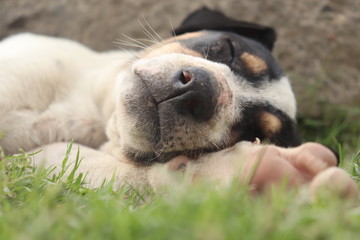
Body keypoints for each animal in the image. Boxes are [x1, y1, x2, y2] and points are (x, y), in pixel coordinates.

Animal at [0, 8, 358, 198]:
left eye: (252, 133)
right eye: (229, 49)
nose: (200, 92)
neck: (94, 116)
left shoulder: (39, 157)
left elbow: (121, 174)